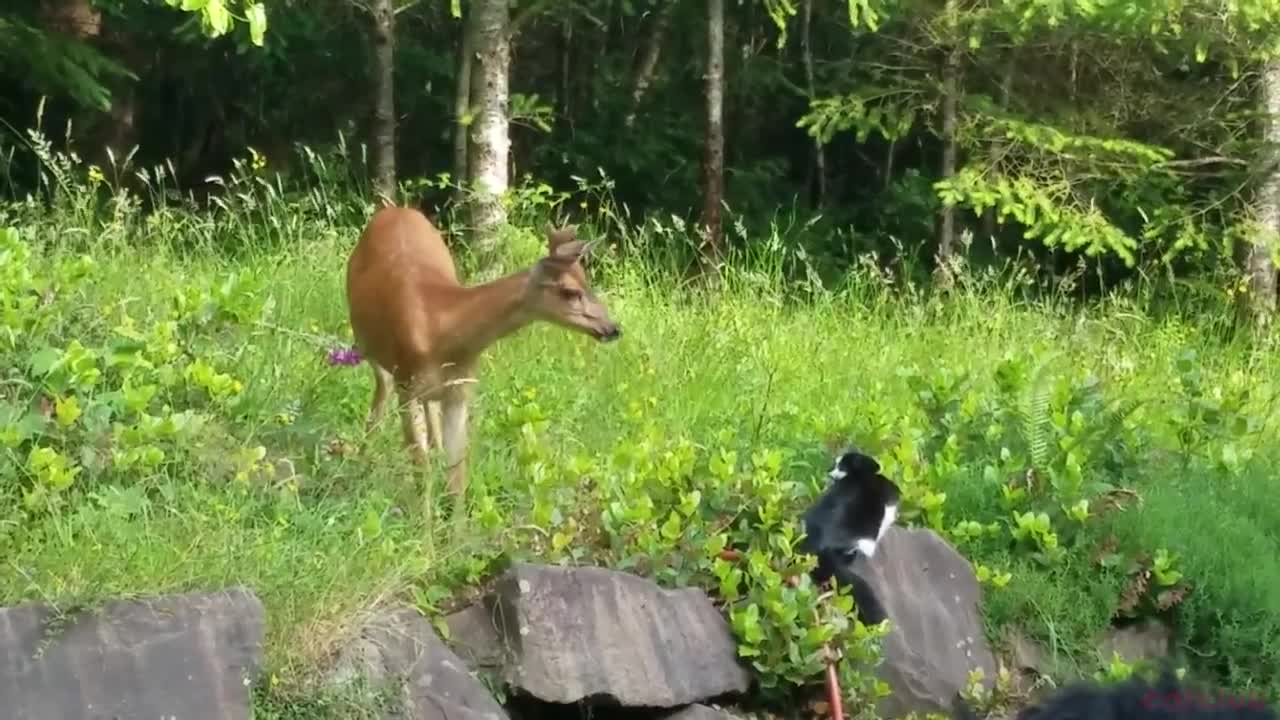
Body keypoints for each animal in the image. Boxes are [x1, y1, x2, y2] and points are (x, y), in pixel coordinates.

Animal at [343, 204, 616, 499]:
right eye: (569, 291)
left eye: (587, 282)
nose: (613, 328)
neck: (439, 330)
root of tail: (396, 208)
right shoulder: (407, 386)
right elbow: (421, 473)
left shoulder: (461, 390)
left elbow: (457, 477)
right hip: (368, 345)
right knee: (382, 390)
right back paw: (361, 459)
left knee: (429, 413)